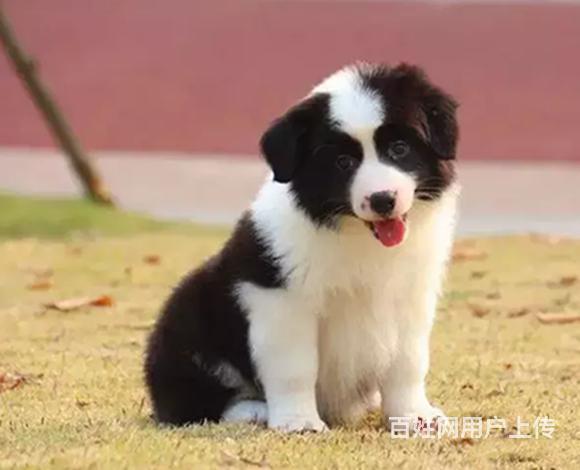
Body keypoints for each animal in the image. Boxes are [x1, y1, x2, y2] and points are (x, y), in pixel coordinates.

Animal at [144, 62, 459, 432]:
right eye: (342, 162)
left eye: (399, 149)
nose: (382, 200)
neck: (356, 234)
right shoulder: (280, 300)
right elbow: (295, 367)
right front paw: (299, 422)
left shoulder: (410, 297)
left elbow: (407, 363)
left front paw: (413, 416)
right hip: (187, 314)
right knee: (193, 404)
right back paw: (252, 410)